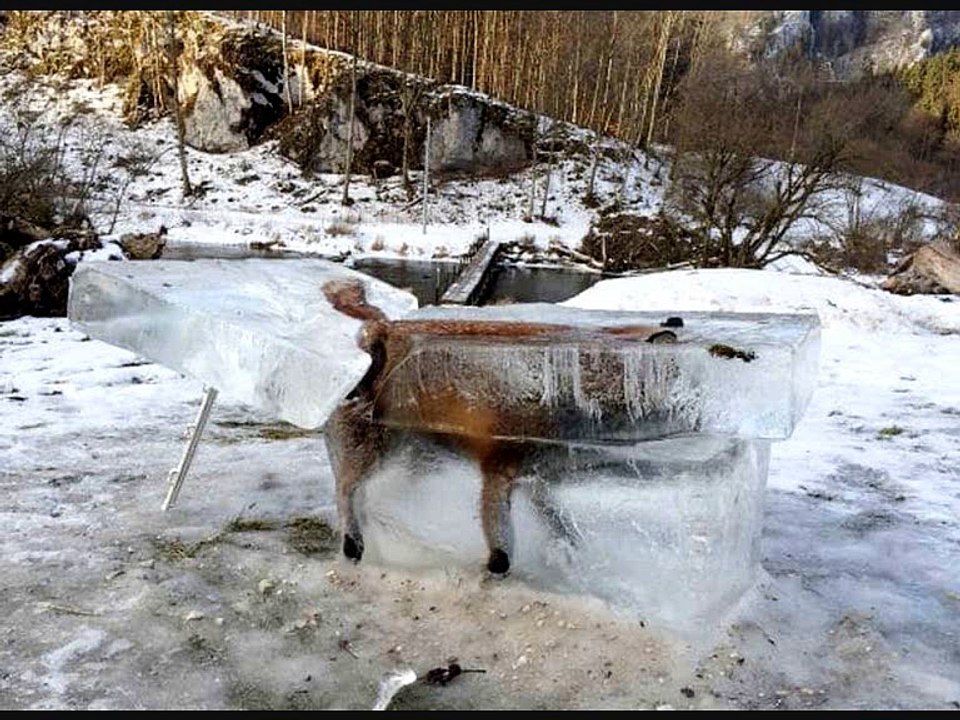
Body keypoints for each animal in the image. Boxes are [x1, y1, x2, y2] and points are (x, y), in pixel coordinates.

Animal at [321, 278, 679, 576]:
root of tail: (382, 327)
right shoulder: (498, 469)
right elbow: (502, 545)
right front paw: (496, 571)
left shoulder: (537, 476)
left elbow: (557, 520)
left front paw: (567, 549)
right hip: (377, 451)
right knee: (346, 489)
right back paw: (353, 542)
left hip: (415, 458)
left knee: (372, 494)